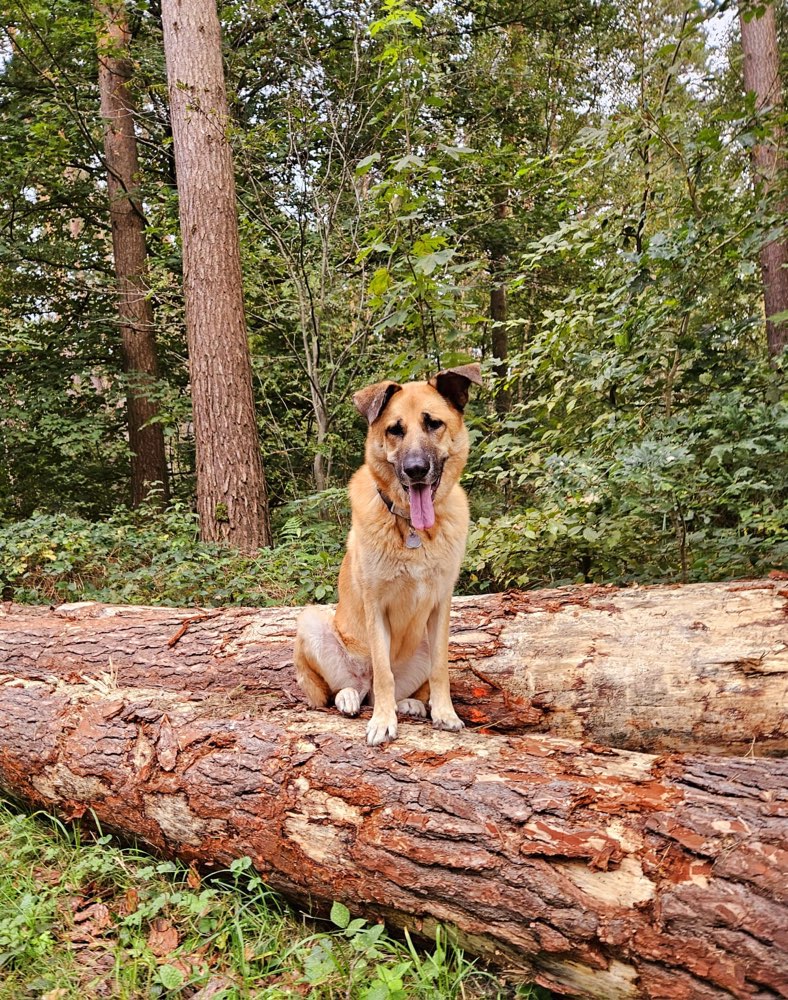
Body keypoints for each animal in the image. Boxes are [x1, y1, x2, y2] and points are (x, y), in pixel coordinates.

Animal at [294, 362, 484, 744]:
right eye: (395, 430)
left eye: (433, 424)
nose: (415, 470)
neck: (412, 529)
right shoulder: (376, 607)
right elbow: (383, 672)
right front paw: (383, 722)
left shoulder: (441, 607)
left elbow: (441, 669)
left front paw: (444, 713)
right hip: (313, 623)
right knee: (356, 687)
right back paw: (351, 698)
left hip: (421, 644)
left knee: (401, 689)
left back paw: (410, 704)